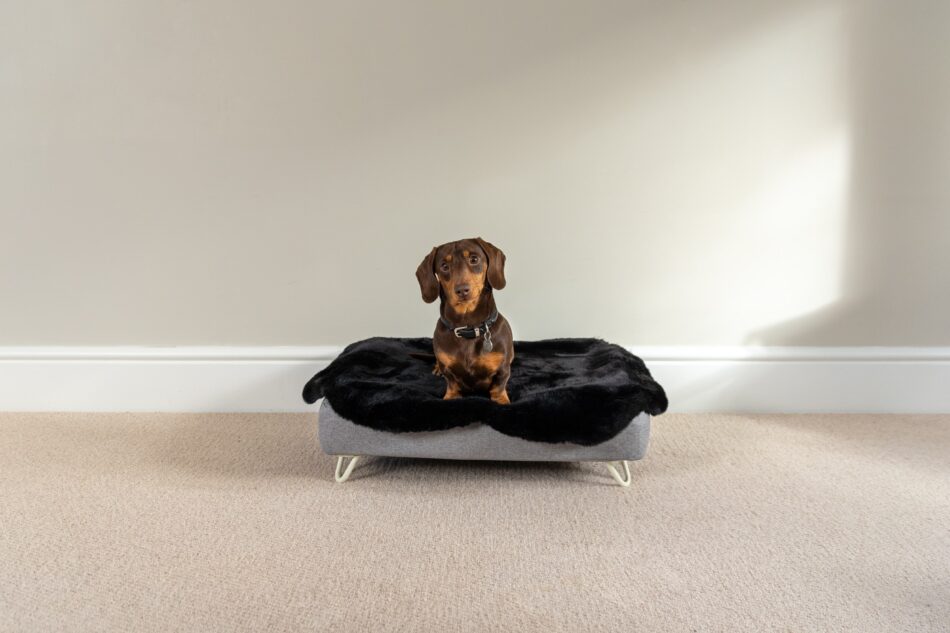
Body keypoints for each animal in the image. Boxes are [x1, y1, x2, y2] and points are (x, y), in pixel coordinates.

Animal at [416, 235, 516, 402]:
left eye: (474, 259)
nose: (462, 290)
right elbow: (451, 384)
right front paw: (450, 396)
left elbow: (499, 386)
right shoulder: (448, 370)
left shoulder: (502, 370)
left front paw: (501, 400)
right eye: (444, 266)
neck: (468, 327)